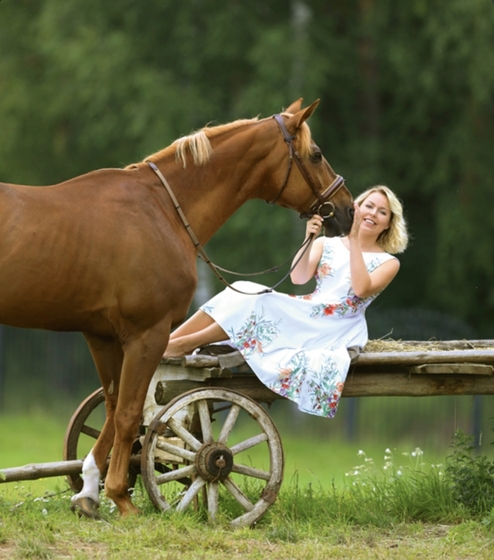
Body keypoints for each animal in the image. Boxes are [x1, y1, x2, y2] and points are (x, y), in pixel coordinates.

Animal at [0, 97, 356, 516]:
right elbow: (129, 414)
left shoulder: (103, 336)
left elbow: (113, 408)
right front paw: (121, 497)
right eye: (316, 154)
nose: (348, 210)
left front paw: (89, 491)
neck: (161, 209)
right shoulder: (148, 334)